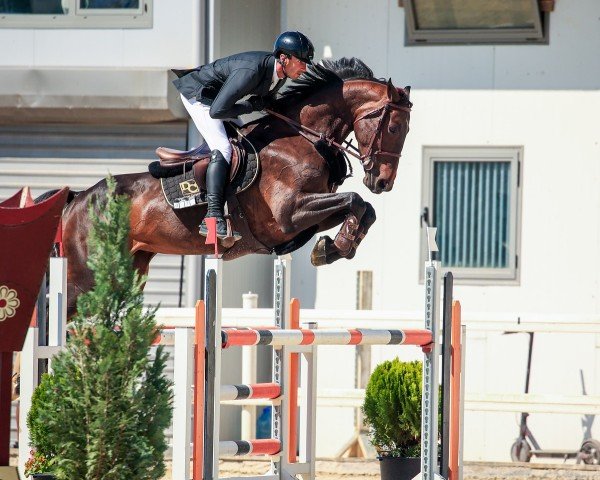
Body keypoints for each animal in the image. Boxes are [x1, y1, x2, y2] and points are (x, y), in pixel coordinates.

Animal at [54, 57, 410, 318]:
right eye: (393, 128)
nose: (382, 182)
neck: (301, 139)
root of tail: (76, 200)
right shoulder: (289, 215)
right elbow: (355, 200)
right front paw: (335, 247)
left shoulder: (307, 216)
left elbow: (364, 208)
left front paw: (335, 247)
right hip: (85, 278)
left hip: (130, 268)